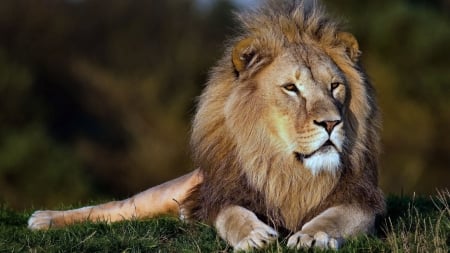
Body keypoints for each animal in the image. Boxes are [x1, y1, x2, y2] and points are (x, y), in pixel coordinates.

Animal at [28, 0, 384, 251]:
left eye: (335, 86)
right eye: (291, 88)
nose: (331, 122)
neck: (287, 169)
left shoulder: (360, 201)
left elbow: (334, 217)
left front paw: (312, 236)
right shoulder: (222, 196)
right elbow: (232, 216)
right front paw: (254, 236)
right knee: (116, 207)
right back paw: (43, 218)